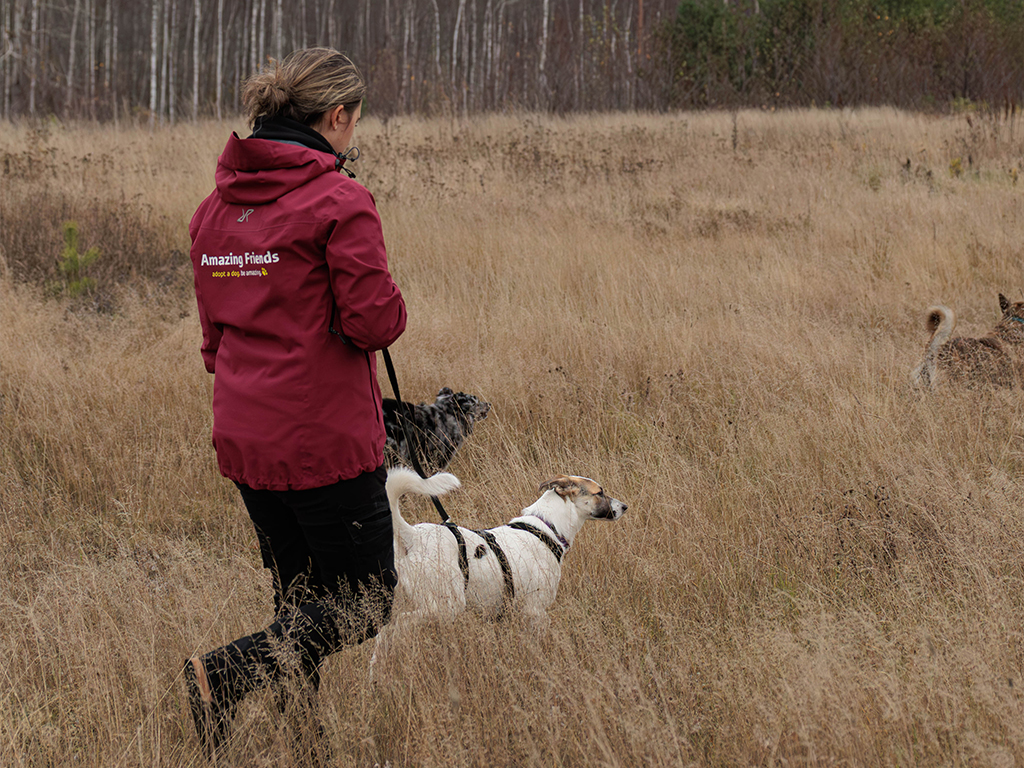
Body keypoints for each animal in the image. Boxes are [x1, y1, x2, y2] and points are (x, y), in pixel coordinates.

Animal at [371, 468, 627, 670]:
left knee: (383, 634)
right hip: (445, 606)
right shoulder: (535, 611)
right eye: (599, 492)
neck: (547, 527)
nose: (624, 506)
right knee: (396, 627)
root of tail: (412, 535)